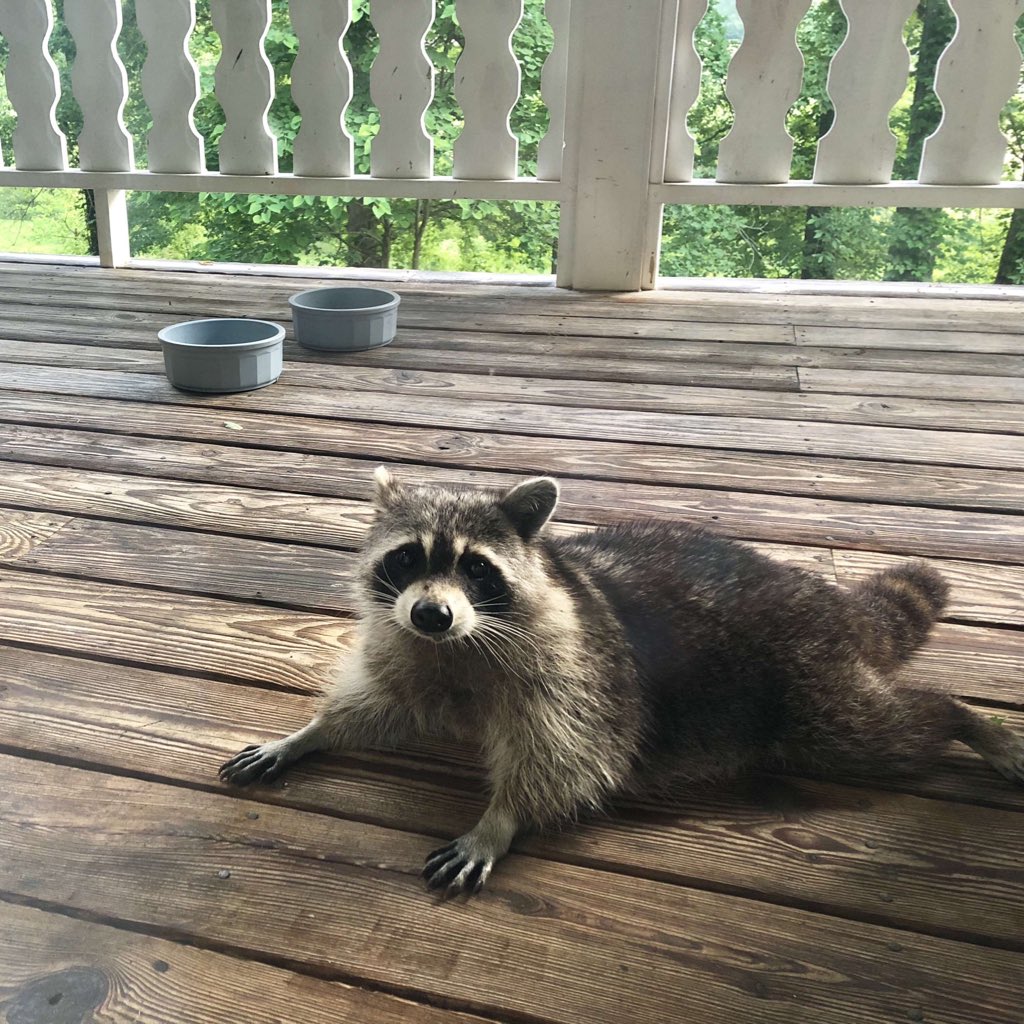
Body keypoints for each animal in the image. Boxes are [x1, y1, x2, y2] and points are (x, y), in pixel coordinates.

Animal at [220, 468, 1024, 896]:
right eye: (408, 558)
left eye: (476, 567)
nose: (432, 612)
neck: (461, 644)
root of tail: (821, 596)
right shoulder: (408, 648)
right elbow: (380, 705)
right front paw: (310, 732)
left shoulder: (578, 669)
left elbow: (572, 755)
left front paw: (501, 818)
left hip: (808, 681)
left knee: (876, 729)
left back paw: (965, 720)